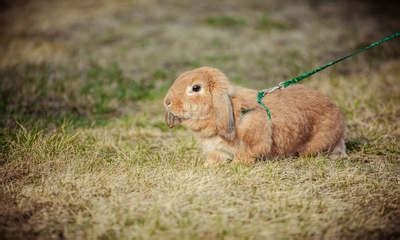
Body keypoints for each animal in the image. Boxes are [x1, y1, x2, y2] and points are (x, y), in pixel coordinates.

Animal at [164, 67, 346, 165]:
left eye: (195, 88)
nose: (167, 102)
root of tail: (337, 112)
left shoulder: (254, 141)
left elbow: (247, 154)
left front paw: (236, 165)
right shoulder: (217, 149)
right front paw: (207, 165)